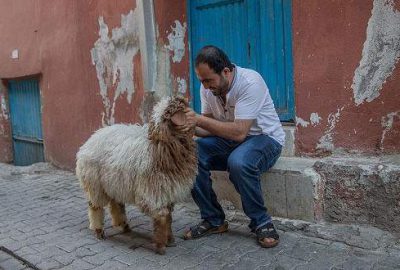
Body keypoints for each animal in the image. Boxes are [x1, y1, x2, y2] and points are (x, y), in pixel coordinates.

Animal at [75, 96, 197, 254]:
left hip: (113, 181)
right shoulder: (153, 193)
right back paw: (99, 230)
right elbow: (162, 217)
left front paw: (170, 240)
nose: (179, 100)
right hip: (95, 185)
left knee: (116, 204)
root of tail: (90, 139)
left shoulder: (167, 192)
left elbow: (169, 217)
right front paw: (160, 246)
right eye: (168, 113)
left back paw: (123, 225)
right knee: (95, 207)